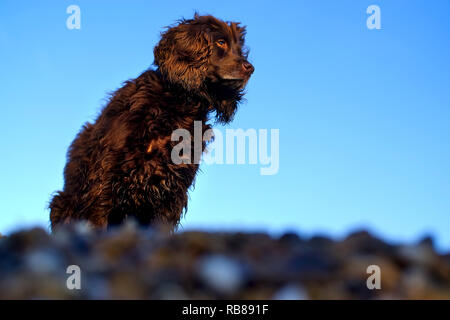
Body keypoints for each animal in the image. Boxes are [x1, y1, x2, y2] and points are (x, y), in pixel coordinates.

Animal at [49, 14, 255, 230]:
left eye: (239, 49)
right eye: (221, 42)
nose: (250, 68)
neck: (179, 106)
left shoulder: (172, 192)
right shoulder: (104, 182)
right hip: (62, 203)